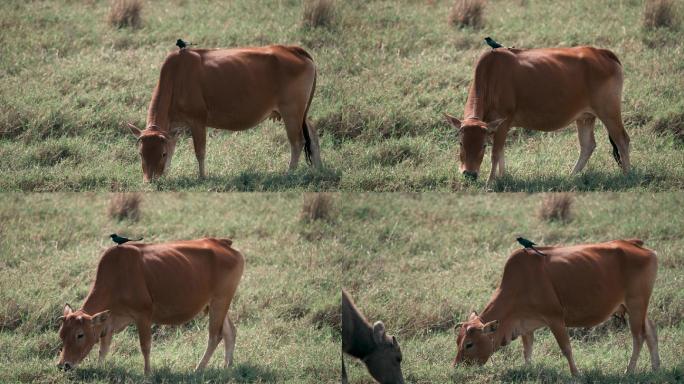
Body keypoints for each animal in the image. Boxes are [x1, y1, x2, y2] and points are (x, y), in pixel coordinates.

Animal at [56, 238, 243, 374]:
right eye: (61, 334)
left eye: (80, 335)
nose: (63, 365)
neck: (117, 276)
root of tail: (221, 242)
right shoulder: (108, 321)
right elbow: (104, 348)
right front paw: (99, 368)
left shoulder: (143, 315)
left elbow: (145, 346)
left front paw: (147, 373)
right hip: (216, 304)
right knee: (230, 332)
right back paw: (227, 366)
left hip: (220, 301)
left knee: (215, 336)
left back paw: (198, 369)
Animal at [130, 43, 322, 182]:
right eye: (140, 154)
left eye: (161, 154)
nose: (149, 180)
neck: (177, 78)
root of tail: (292, 49)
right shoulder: (174, 129)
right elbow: (174, 148)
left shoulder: (197, 121)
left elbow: (200, 152)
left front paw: (202, 177)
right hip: (301, 113)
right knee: (312, 134)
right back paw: (318, 168)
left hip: (291, 112)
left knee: (297, 142)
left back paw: (289, 173)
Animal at [444, 45, 632, 183]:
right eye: (461, 143)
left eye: (483, 145)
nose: (469, 174)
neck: (491, 76)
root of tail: (602, 52)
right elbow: (501, 151)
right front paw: (502, 177)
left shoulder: (503, 123)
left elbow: (496, 153)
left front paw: (491, 182)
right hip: (585, 117)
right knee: (588, 145)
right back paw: (571, 176)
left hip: (609, 112)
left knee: (622, 140)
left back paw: (627, 175)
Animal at [452, 240, 660, 376]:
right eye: (458, 341)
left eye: (469, 344)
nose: (456, 367)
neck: (521, 282)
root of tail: (636, 245)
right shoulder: (525, 324)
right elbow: (527, 350)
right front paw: (527, 369)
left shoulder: (555, 319)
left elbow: (566, 348)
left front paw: (576, 374)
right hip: (636, 307)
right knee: (651, 331)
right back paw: (655, 367)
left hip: (636, 304)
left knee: (638, 337)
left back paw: (629, 370)